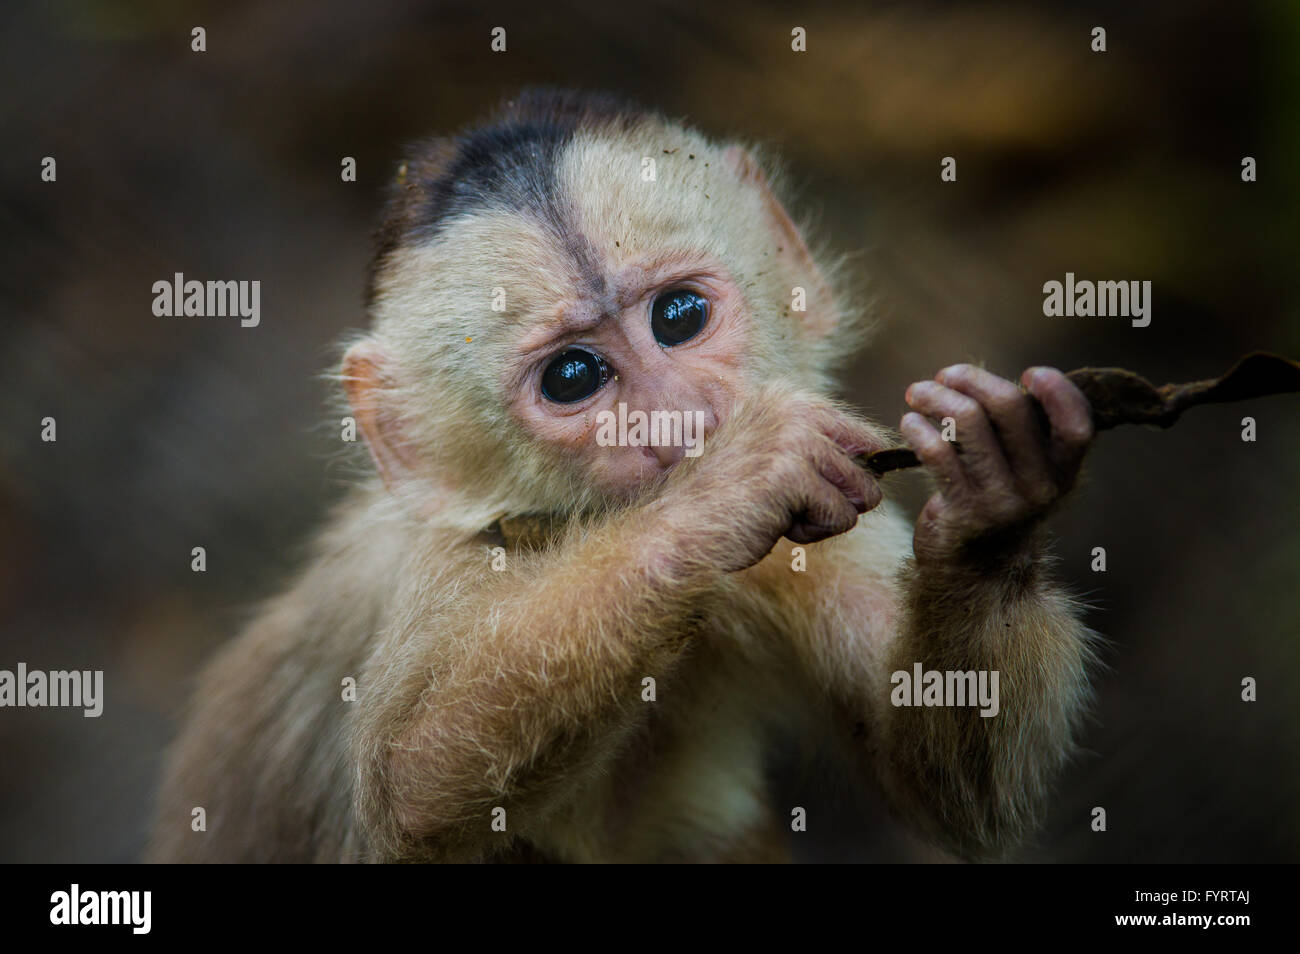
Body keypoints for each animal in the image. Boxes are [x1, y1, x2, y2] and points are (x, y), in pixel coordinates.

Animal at [149, 89, 1097, 868]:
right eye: (574, 377)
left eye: (679, 317)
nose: (678, 420)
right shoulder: (449, 559)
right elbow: (409, 788)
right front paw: (723, 493)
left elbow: (951, 795)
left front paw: (990, 511)